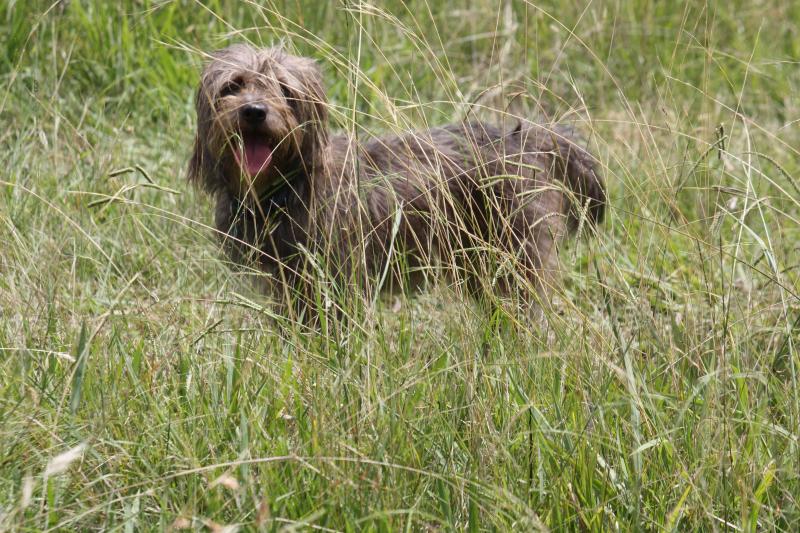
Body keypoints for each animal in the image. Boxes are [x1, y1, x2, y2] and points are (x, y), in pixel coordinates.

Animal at [188, 44, 608, 320]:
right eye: (233, 85)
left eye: (284, 90)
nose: (254, 111)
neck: (286, 184)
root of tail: (528, 137)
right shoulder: (292, 286)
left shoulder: (333, 283)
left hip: (511, 262)